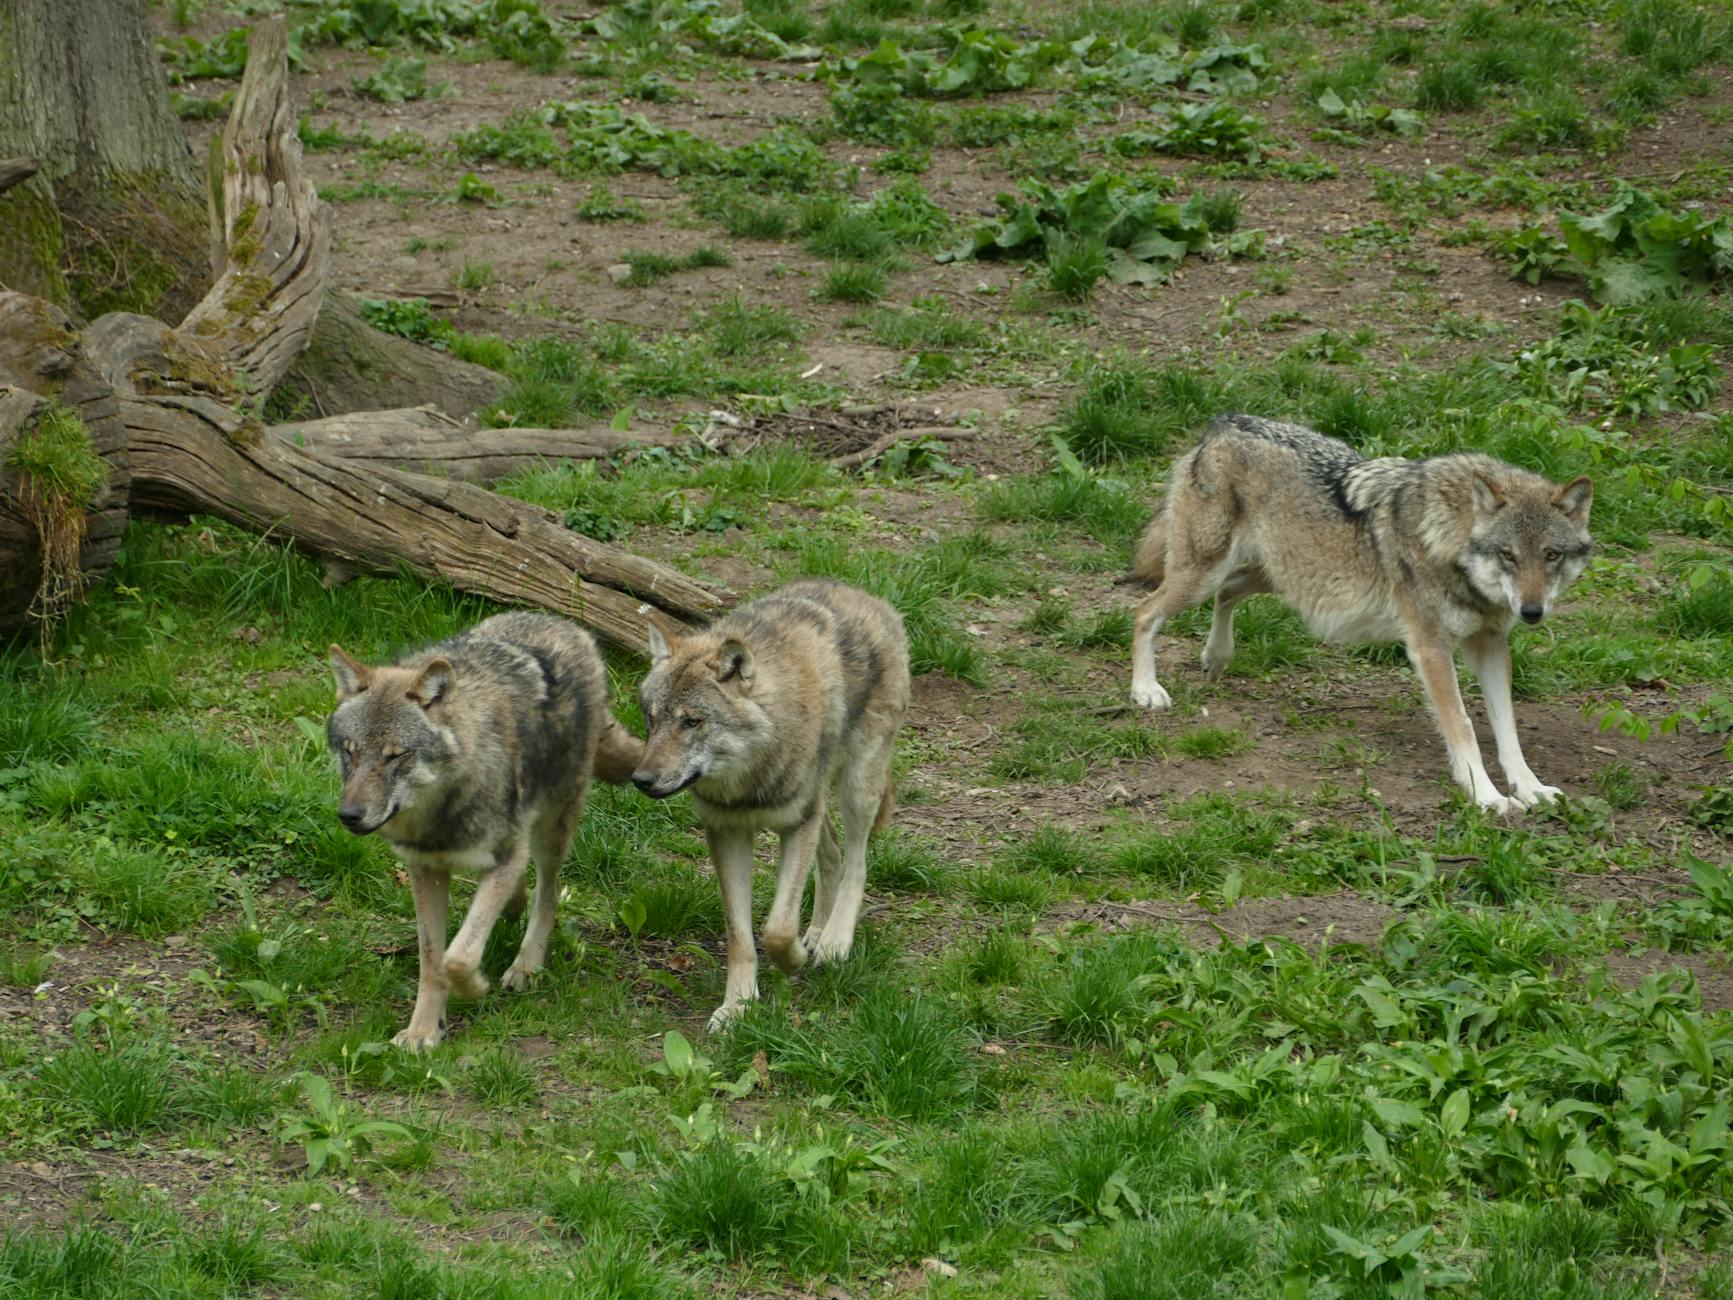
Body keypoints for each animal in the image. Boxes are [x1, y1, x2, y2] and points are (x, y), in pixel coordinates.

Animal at [327, 612, 641, 1051]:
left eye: (395, 756)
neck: (441, 813)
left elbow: (457, 956)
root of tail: (567, 625)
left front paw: (475, 987)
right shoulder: (426, 870)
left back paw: (526, 965)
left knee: (548, 893)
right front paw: (423, 1031)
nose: (349, 815)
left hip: (552, 827)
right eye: (350, 751)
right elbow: (432, 959)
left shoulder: (505, 855)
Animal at [630, 580, 910, 1031]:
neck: (748, 782)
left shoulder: (797, 825)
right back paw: (816, 931)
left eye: (692, 722)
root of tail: (869, 596)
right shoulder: (727, 833)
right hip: (819, 803)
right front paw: (737, 1008)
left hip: (857, 786)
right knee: (832, 852)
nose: (641, 780)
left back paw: (834, 941)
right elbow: (741, 937)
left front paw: (793, 958)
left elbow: (777, 928)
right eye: (652, 719)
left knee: (857, 862)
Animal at [1128, 414, 1593, 815]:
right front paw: (1486, 796)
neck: (1446, 539)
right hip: (1203, 576)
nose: (1531, 611)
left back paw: (1216, 657)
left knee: (1226, 594)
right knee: (1144, 611)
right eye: (1508, 555)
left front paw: (1530, 788)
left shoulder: (1491, 643)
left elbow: (1507, 728)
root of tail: (1222, 425)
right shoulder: (1430, 647)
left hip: (1277, 575)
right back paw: (1146, 690)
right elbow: (1463, 726)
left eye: (1551, 555)